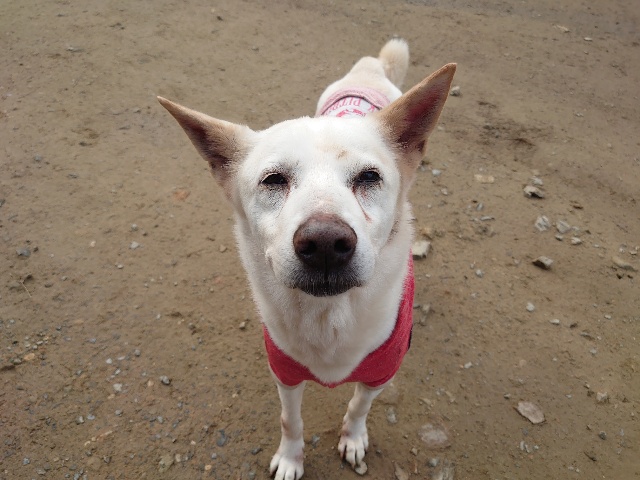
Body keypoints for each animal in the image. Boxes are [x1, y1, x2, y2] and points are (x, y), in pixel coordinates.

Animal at [158, 38, 455, 479]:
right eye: (273, 180)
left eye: (369, 177)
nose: (326, 243)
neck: (328, 318)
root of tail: (370, 68)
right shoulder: (284, 373)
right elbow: (290, 420)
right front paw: (290, 458)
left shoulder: (380, 372)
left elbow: (359, 406)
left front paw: (353, 438)